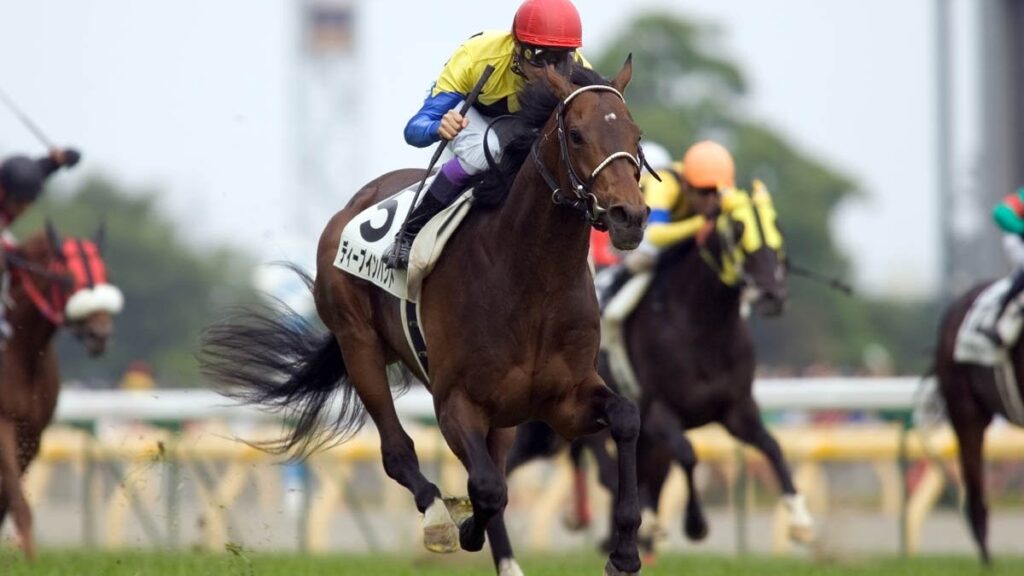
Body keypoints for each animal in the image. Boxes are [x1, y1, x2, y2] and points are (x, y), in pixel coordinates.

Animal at [0, 223, 123, 558]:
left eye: (106, 272)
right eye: (68, 276)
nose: (99, 334)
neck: (20, 351)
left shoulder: (32, 432)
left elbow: (8, 500)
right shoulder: (3, 422)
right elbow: (18, 503)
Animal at [200, 62, 651, 576]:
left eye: (635, 134)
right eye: (576, 135)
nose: (629, 215)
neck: (533, 278)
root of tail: (355, 202)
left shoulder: (565, 399)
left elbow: (625, 417)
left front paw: (625, 551)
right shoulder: (456, 401)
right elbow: (487, 488)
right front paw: (464, 525)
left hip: (505, 411)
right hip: (359, 344)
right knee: (400, 452)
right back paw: (438, 517)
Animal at [504, 186, 815, 554]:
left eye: (775, 224)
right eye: (738, 229)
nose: (773, 295)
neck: (703, 326)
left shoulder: (737, 408)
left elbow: (771, 446)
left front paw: (800, 520)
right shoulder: (657, 412)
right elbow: (689, 455)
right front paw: (695, 524)